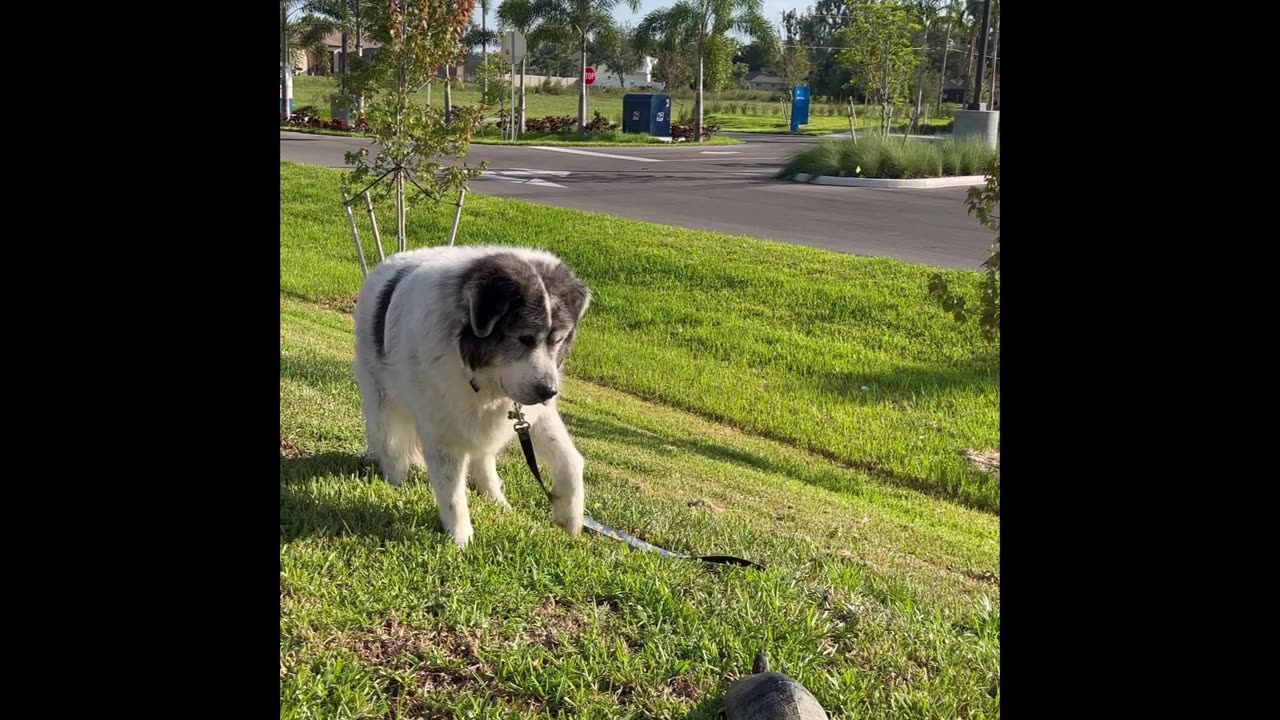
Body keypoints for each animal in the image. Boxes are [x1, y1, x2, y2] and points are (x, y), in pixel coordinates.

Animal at [350, 243, 588, 545]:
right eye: (524, 338)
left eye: (557, 340)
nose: (548, 390)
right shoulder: (442, 430)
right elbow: (452, 491)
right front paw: (461, 540)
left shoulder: (533, 414)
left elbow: (570, 460)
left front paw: (569, 516)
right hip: (380, 396)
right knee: (389, 441)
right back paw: (395, 480)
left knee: (484, 457)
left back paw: (496, 499)